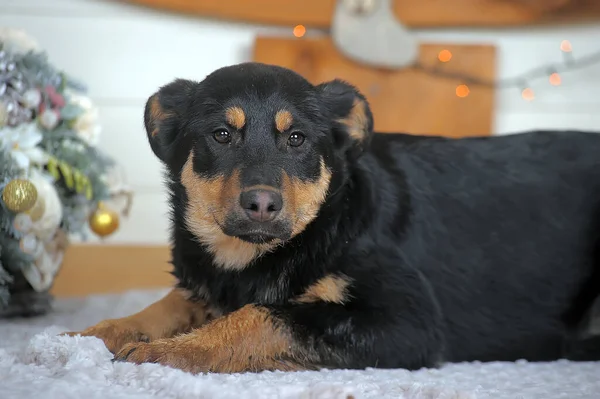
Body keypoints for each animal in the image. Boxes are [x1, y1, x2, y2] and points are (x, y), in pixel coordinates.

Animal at [65, 62, 600, 376]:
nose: (262, 204)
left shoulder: (410, 323)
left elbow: (264, 315)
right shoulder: (203, 285)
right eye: (221, 135)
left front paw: (173, 352)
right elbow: (164, 306)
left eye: (297, 139)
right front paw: (87, 335)